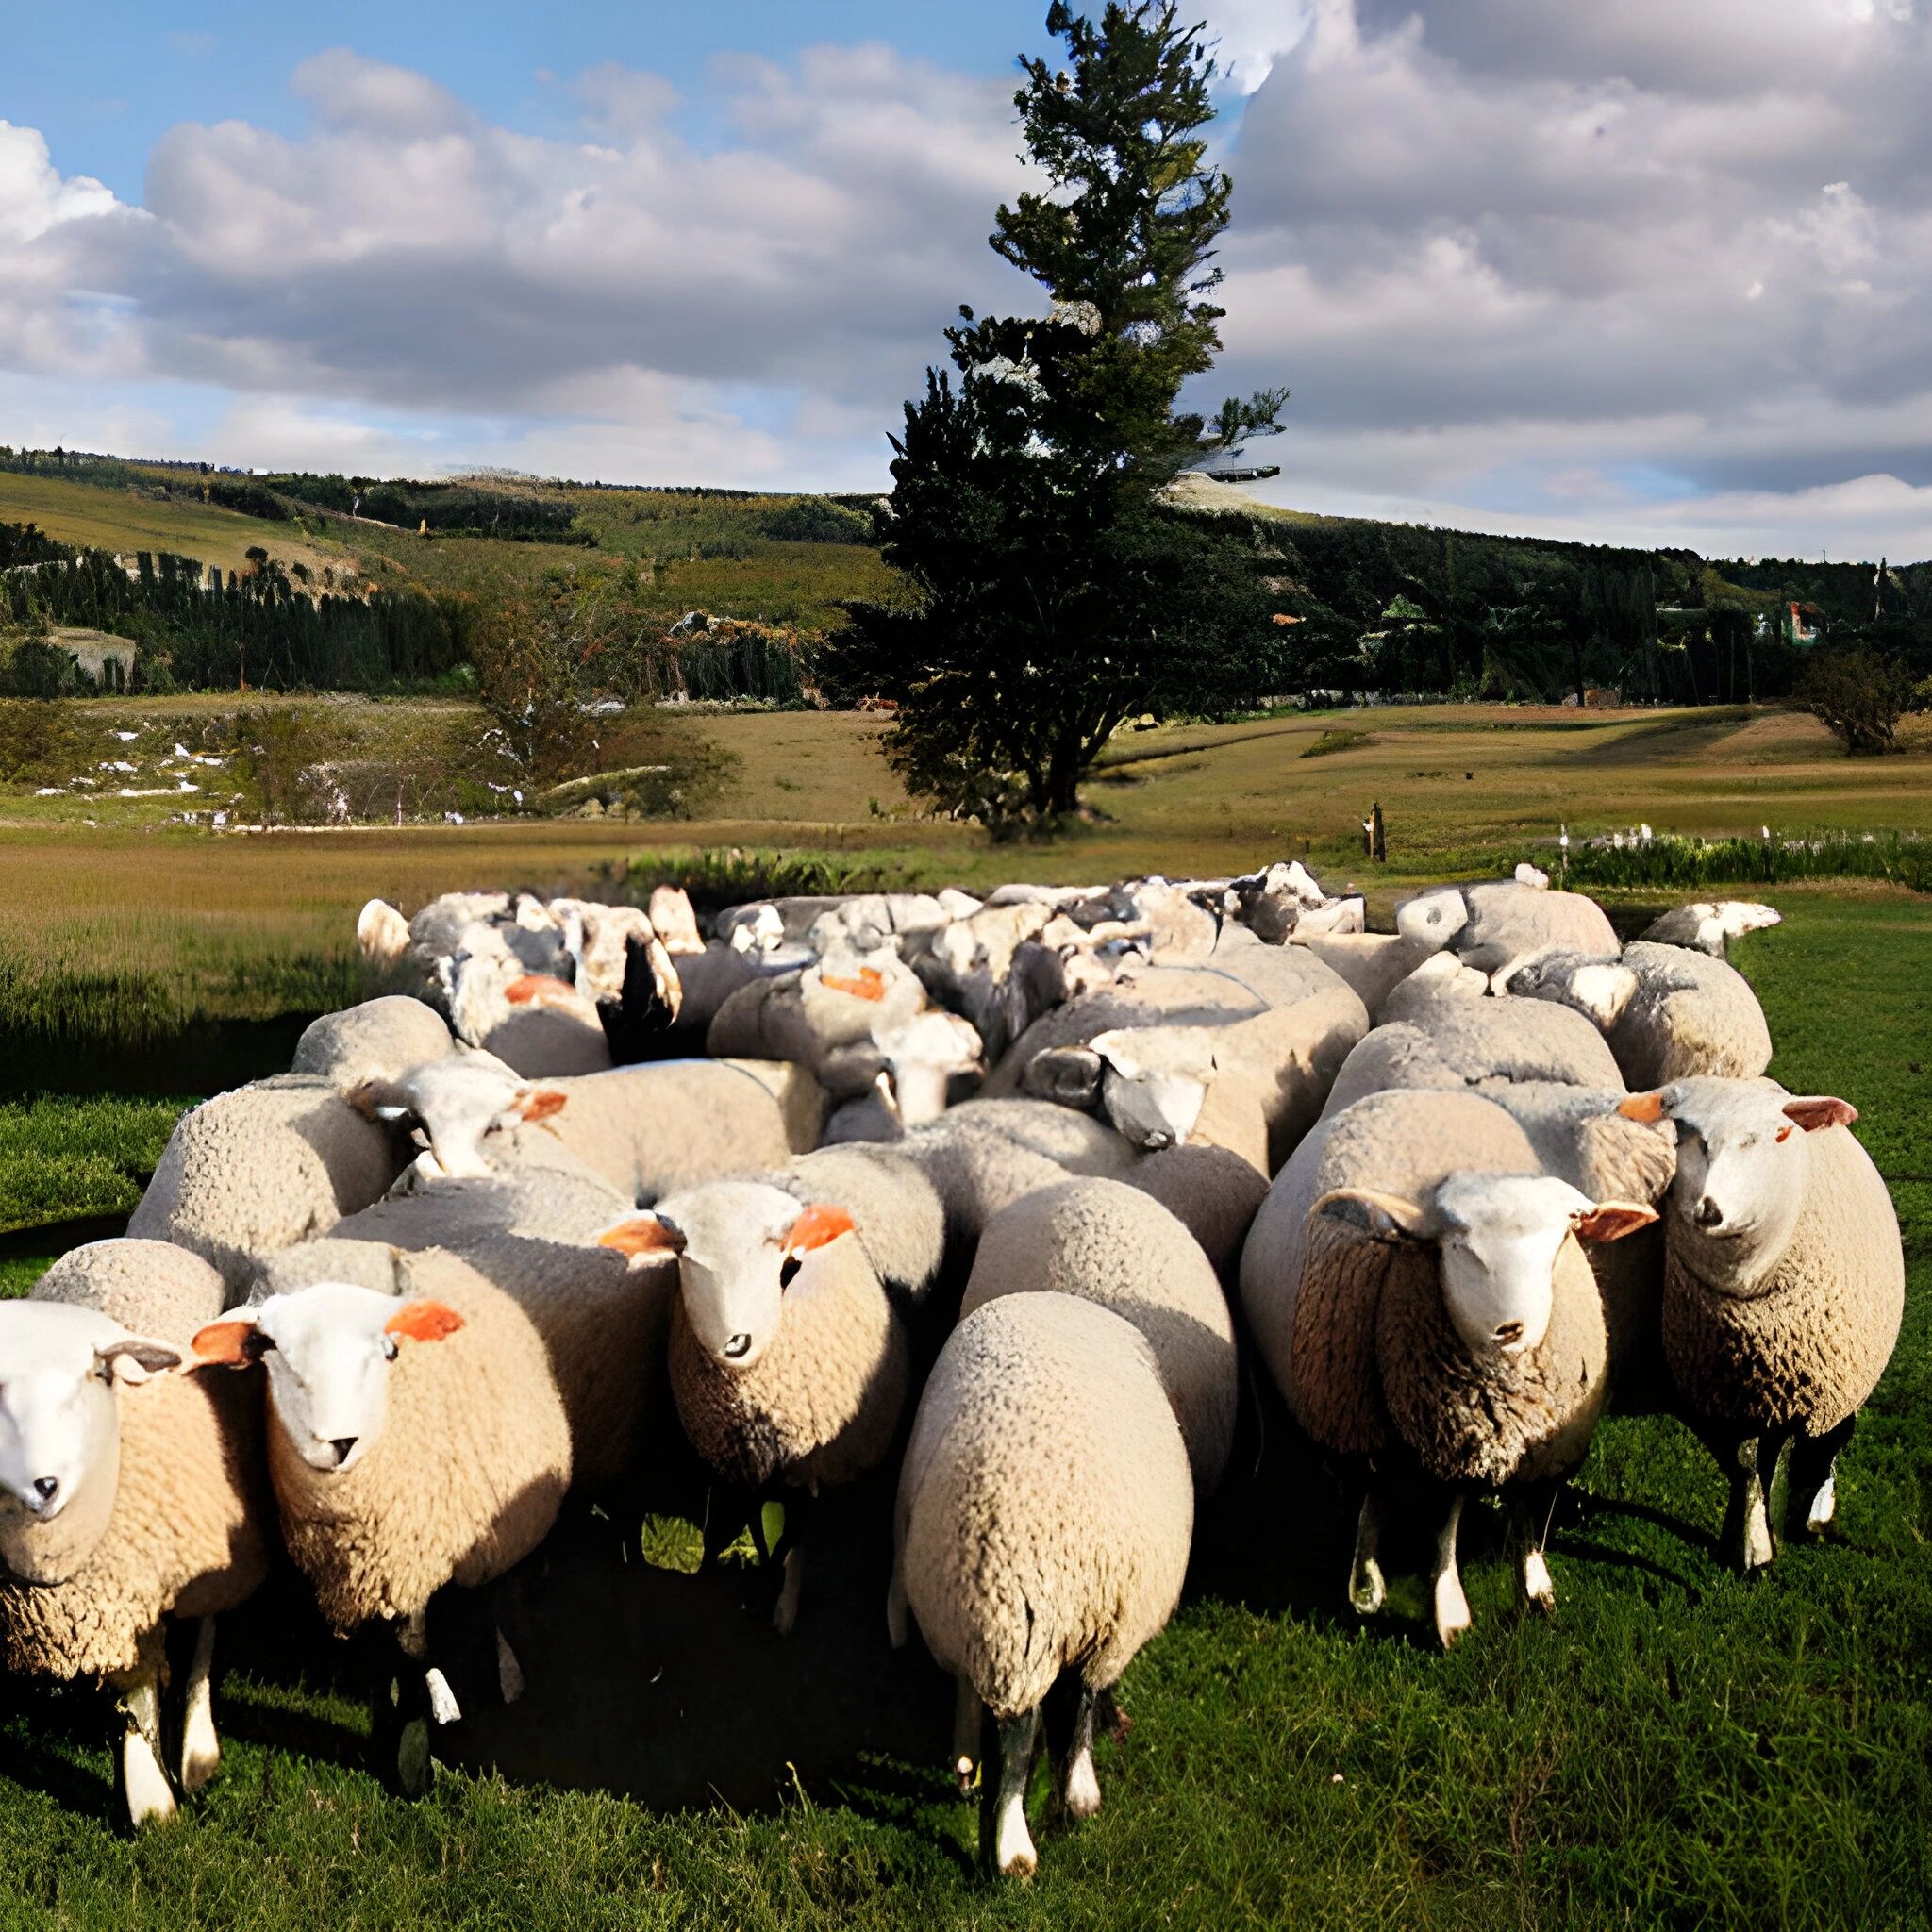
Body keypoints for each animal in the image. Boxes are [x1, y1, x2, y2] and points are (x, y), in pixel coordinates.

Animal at [893, 1292, 1193, 1876]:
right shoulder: (1109, 1635)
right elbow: (1079, 1709)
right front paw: (1082, 1789)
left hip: (992, 1634)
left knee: (994, 1717)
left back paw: (975, 1784)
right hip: (1027, 1642)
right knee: (1025, 1737)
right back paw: (1021, 1845)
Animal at [1241, 1088, 1655, 1644]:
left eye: (1569, 1226)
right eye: (1455, 1242)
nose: (1510, 1328)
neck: (1508, 1401)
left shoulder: (1548, 1443)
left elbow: (1529, 1515)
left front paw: (1535, 1588)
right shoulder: (1440, 1442)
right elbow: (1443, 1526)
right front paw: (1449, 1614)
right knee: (1373, 1486)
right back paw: (1365, 1581)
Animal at [1616, 1079, 1905, 1572]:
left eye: (1776, 1135)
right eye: (1682, 1134)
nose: (1708, 1210)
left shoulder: (1804, 1396)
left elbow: (1778, 1457)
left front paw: (1768, 1537)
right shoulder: (1711, 1392)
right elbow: (1745, 1463)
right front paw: (1749, 1542)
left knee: (1832, 1440)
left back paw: (1816, 1511)